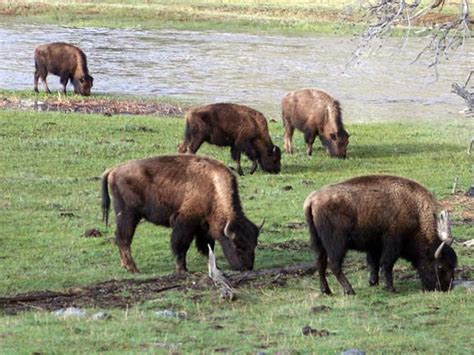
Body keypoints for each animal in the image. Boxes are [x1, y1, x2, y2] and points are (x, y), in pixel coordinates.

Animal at [101, 154, 262, 274]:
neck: (214, 188)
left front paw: (214, 266)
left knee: (121, 238)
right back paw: (133, 268)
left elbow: (207, 247)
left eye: (254, 245)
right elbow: (181, 245)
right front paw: (182, 269)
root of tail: (113, 170)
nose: (247, 267)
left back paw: (127, 266)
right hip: (128, 214)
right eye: (238, 246)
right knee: (124, 238)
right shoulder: (185, 223)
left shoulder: (204, 227)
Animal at [306, 175, 458, 294]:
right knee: (334, 264)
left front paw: (374, 282)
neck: (415, 211)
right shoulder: (392, 243)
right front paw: (390, 288)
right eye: (440, 266)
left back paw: (326, 291)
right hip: (337, 243)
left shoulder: (375, 246)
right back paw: (349, 290)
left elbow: (373, 263)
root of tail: (312, 200)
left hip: (317, 241)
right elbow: (387, 263)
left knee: (320, 262)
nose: (445, 288)